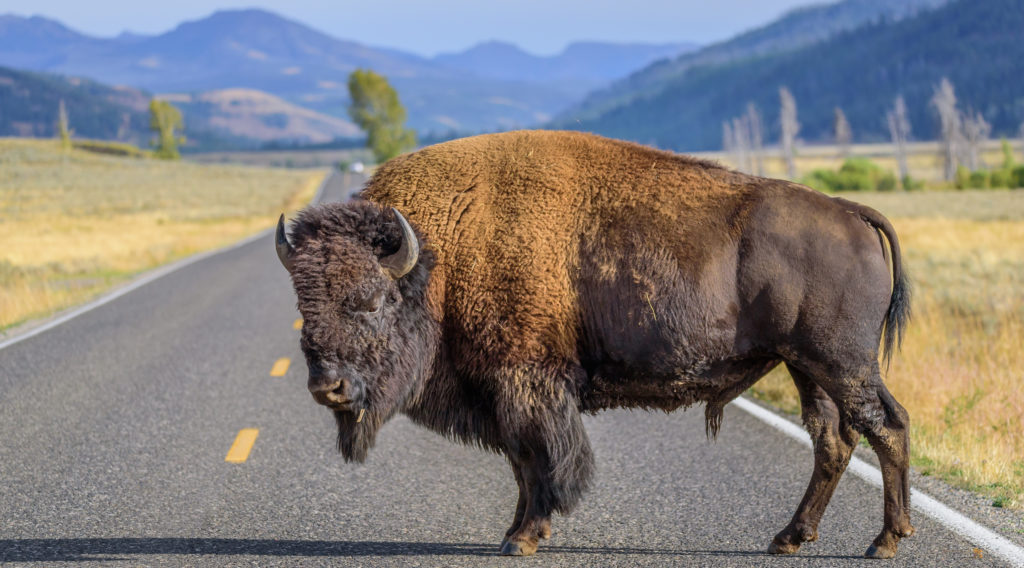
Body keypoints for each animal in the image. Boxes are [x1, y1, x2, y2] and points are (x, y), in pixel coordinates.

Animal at [275, 130, 913, 558]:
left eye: (371, 300)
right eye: (304, 305)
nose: (327, 386)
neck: (441, 252)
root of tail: (850, 212)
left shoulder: (526, 382)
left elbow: (541, 460)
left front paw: (523, 537)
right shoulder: (506, 392)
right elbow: (522, 463)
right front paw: (516, 532)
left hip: (840, 364)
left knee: (884, 426)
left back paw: (885, 541)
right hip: (808, 368)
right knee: (834, 440)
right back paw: (789, 538)